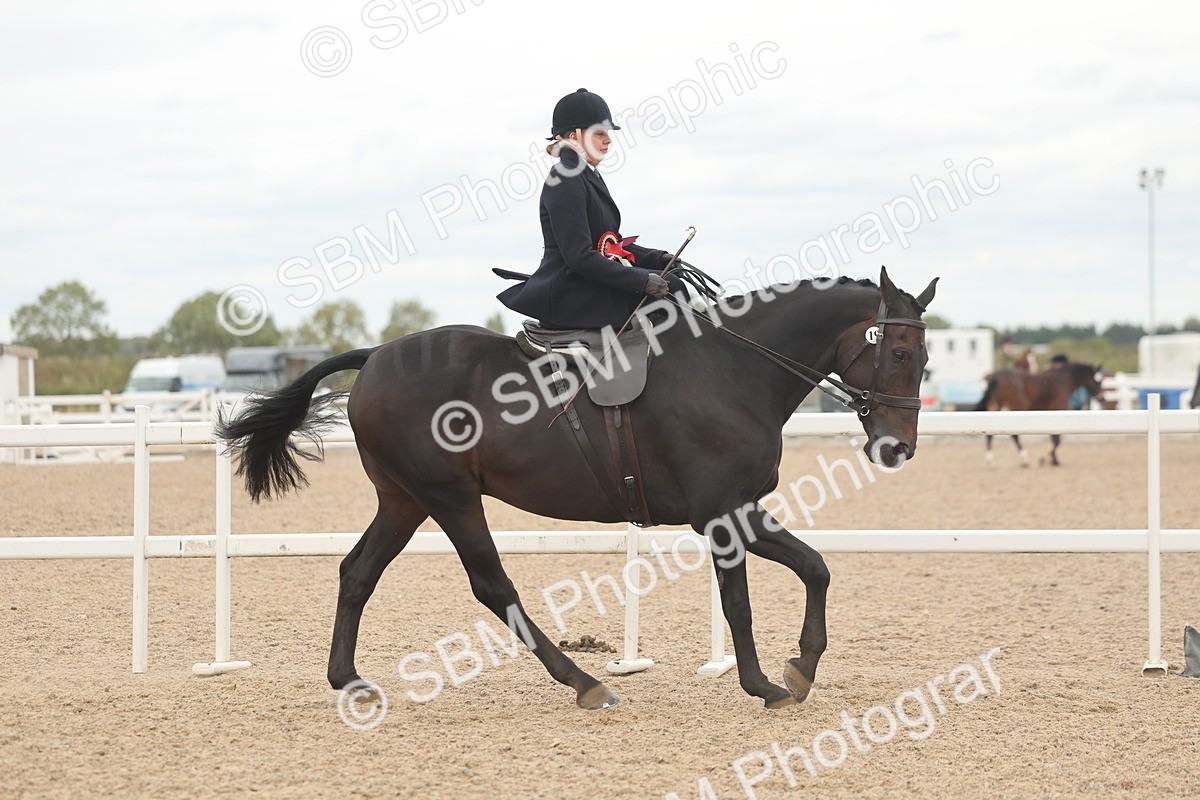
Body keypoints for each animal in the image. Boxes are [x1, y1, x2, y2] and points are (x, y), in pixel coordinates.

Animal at [215, 267, 938, 711]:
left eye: (926, 358)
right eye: (900, 353)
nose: (897, 448)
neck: (736, 369)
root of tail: (375, 358)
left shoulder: (738, 512)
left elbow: (814, 569)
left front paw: (798, 666)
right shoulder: (722, 513)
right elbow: (749, 598)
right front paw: (772, 680)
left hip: (405, 499)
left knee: (358, 572)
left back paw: (347, 679)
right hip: (448, 496)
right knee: (491, 585)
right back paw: (584, 682)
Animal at [974, 361, 1105, 466]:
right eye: (1098, 381)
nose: (1101, 398)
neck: (1064, 380)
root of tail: (997, 376)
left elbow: (1054, 438)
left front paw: (1053, 459)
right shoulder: (1057, 409)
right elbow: (1056, 439)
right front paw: (1046, 458)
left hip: (995, 407)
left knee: (989, 434)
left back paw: (991, 461)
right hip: (1015, 407)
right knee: (1014, 435)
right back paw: (1024, 459)